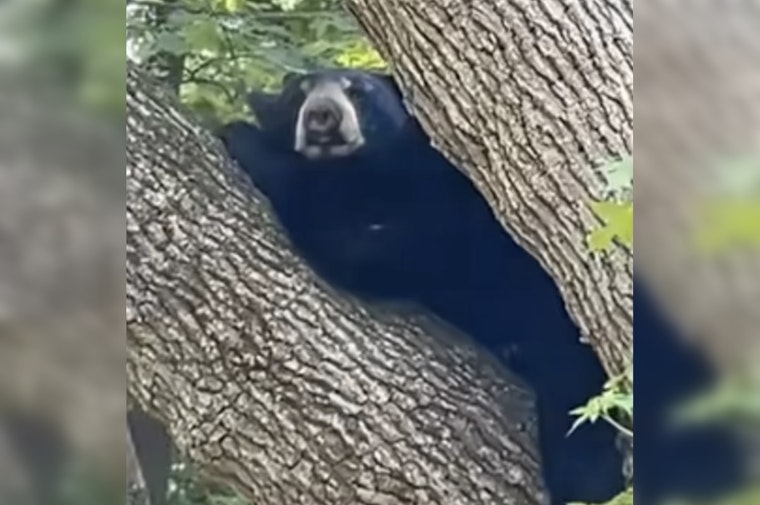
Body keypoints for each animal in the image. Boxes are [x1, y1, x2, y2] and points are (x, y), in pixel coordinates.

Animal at [218, 68, 748, 504]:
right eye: (299, 94)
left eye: (359, 91)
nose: (322, 116)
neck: (366, 174)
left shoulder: (446, 211)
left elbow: (366, 245)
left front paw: (242, 138)